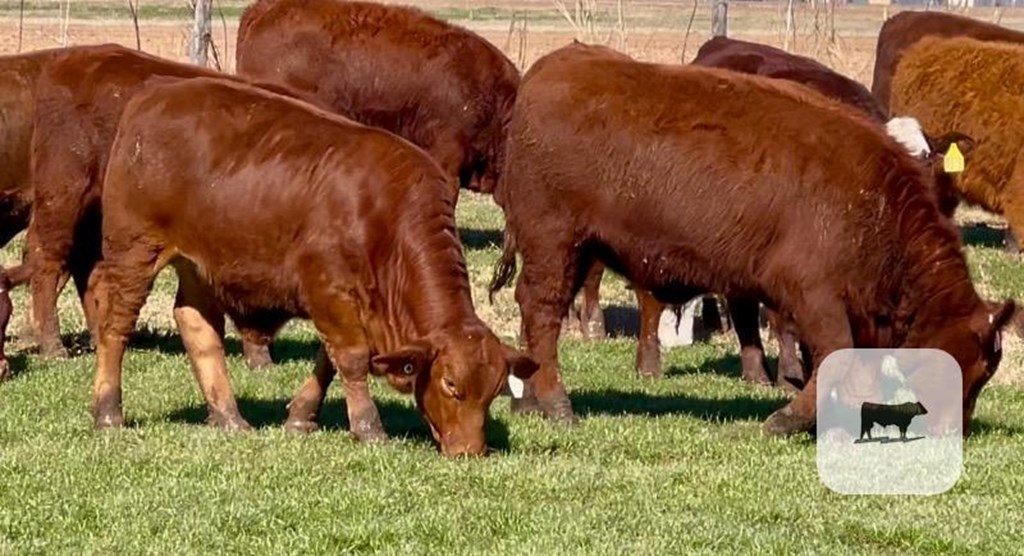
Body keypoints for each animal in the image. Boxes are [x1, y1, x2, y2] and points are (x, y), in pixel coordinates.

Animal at [23, 44, 323, 370]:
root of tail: (70, 60)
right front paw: (259, 358)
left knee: (85, 267)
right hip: (63, 195)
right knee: (46, 259)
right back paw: (52, 345)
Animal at [91, 75, 536, 456]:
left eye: (494, 391)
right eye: (450, 384)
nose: (470, 451)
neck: (382, 214)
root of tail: (155, 92)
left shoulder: (344, 303)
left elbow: (329, 362)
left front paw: (302, 416)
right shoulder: (329, 291)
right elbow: (352, 359)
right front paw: (369, 427)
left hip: (198, 266)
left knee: (199, 329)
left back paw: (229, 416)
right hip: (133, 253)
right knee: (116, 328)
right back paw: (108, 411)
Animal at [489, 41, 1015, 438]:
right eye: (978, 366)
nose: (956, 430)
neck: (876, 202)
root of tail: (553, 67)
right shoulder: (815, 298)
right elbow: (833, 355)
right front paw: (787, 418)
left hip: (575, 251)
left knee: (535, 310)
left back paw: (528, 401)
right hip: (556, 242)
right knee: (543, 311)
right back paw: (557, 404)